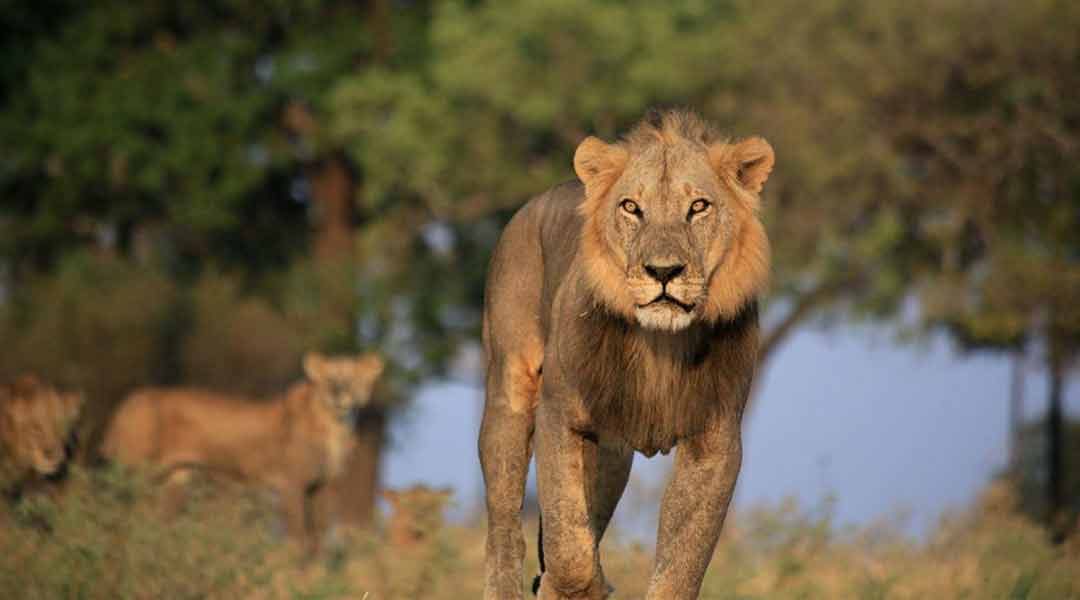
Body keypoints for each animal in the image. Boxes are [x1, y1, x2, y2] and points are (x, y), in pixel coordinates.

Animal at [101, 352, 384, 552]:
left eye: (352, 378)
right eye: (329, 379)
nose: (338, 392)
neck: (336, 424)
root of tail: (128, 402)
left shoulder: (321, 487)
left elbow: (317, 543)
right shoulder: (291, 485)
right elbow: (298, 542)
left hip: (175, 480)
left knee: (153, 523)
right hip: (134, 473)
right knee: (115, 517)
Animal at [479, 109, 773, 600]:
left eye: (699, 207)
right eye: (632, 207)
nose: (663, 271)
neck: (661, 342)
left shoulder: (716, 440)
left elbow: (680, 566)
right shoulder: (559, 415)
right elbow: (568, 544)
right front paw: (581, 584)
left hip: (613, 454)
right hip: (511, 395)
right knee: (504, 526)